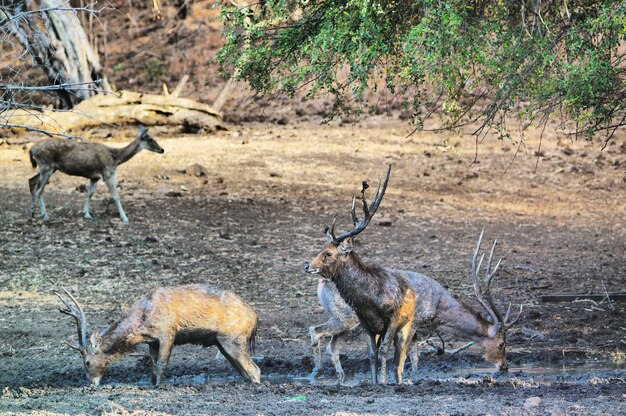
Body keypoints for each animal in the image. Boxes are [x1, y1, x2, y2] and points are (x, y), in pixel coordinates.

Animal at [28, 126, 165, 224]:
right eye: (150, 139)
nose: (162, 149)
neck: (115, 158)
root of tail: (32, 149)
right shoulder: (108, 174)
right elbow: (116, 196)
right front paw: (125, 218)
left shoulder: (94, 177)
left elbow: (90, 193)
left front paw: (86, 214)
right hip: (46, 167)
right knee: (39, 189)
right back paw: (44, 215)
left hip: (48, 168)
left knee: (32, 181)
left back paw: (32, 213)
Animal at [53, 284, 258, 386]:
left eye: (87, 362)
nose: (90, 383)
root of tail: (255, 318)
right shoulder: (152, 342)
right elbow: (151, 368)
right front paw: (152, 384)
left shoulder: (168, 332)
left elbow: (161, 365)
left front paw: (159, 386)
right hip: (222, 343)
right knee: (246, 370)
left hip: (233, 338)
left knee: (254, 370)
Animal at [302, 164, 414, 386]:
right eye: (321, 249)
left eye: (328, 253)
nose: (308, 266)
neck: (371, 300)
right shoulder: (366, 323)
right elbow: (375, 353)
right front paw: (378, 382)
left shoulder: (392, 320)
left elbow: (385, 351)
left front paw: (382, 382)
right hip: (344, 320)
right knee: (321, 336)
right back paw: (322, 373)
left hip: (355, 322)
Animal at [308, 231, 520, 384]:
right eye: (502, 344)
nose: (505, 366)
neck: (437, 309)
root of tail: (321, 284)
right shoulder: (415, 321)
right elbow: (407, 355)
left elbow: (415, 355)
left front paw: (413, 376)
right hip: (344, 317)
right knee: (316, 331)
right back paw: (316, 373)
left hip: (346, 321)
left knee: (333, 345)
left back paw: (340, 377)